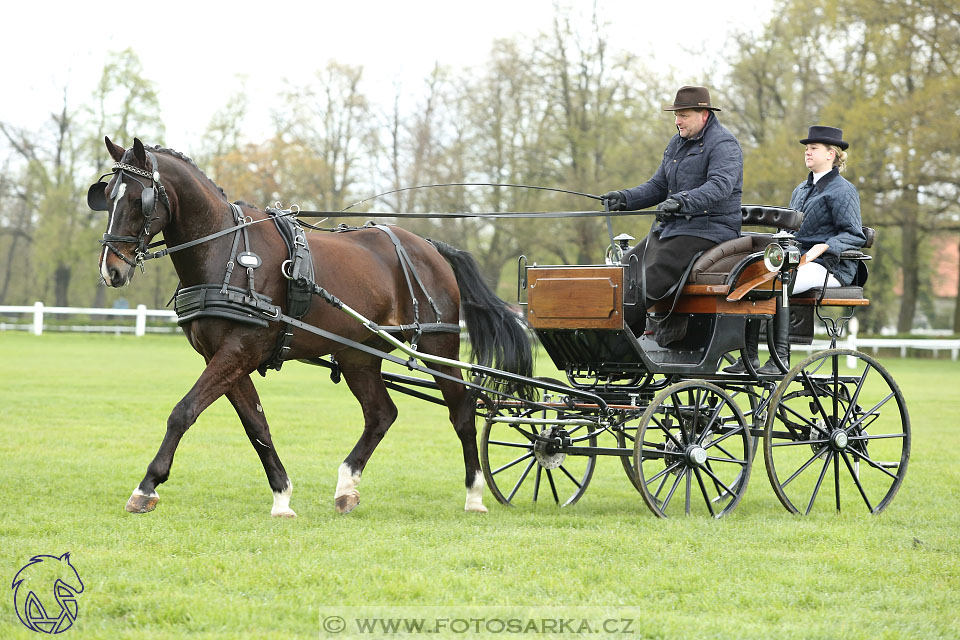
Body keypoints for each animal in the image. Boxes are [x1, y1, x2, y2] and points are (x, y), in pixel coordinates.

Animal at [92, 138, 532, 516]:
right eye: (107, 195)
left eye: (139, 199)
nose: (111, 270)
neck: (227, 251)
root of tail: (430, 246)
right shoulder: (223, 356)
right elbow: (256, 425)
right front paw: (282, 496)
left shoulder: (239, 350)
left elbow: (183, 412)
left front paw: (146, 486)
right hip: (357, 354)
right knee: (381, 414)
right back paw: (346, 486)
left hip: (437, 345)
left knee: (462, 410)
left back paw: (474, 493)